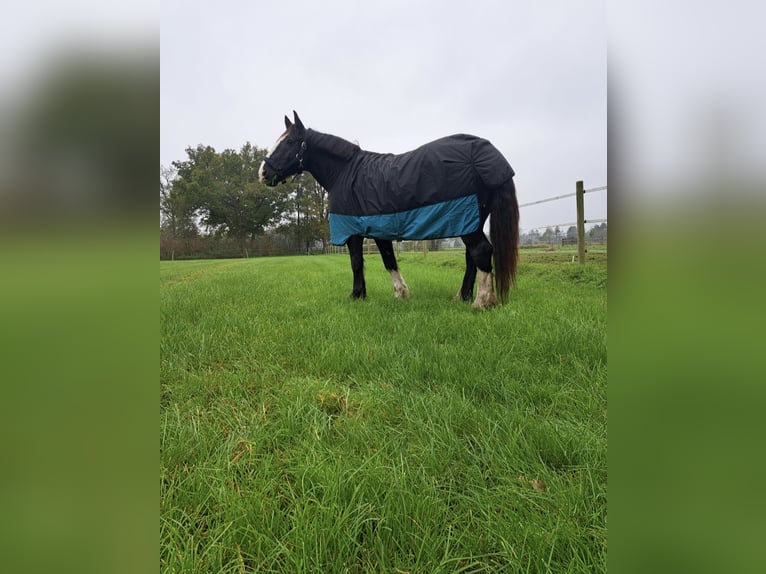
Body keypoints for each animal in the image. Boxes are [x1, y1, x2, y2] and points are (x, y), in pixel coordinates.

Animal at [259, 111, 519, 309]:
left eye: (289, 143)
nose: (263, 172)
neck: (344, 173)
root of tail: (487, 155)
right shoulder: (378, 229)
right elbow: (389, 260)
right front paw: (400, 293)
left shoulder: (353, 231)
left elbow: (356, 262)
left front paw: (357, 296)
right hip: (471, 221)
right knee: (471, 257)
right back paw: (462, 297)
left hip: (467, 221)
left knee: (481, 251)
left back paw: (482, 302)